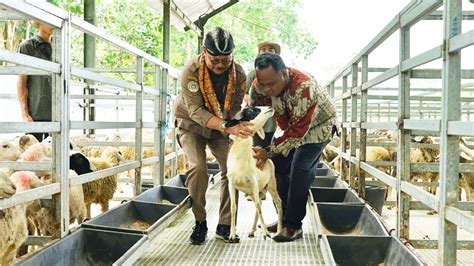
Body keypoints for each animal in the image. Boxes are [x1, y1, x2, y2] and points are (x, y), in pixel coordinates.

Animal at [226, 106, 282, 243]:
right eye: (251, 110)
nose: (270, 107)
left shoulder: (254, 181)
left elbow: (258, 206)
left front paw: (266, 233)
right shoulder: (231, 183)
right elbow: (233, 207)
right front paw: (232, 235)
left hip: (271, 185)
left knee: (278, 203)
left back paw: (278, 230)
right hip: (253, 191)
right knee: (259, 204)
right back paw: (252, 231)